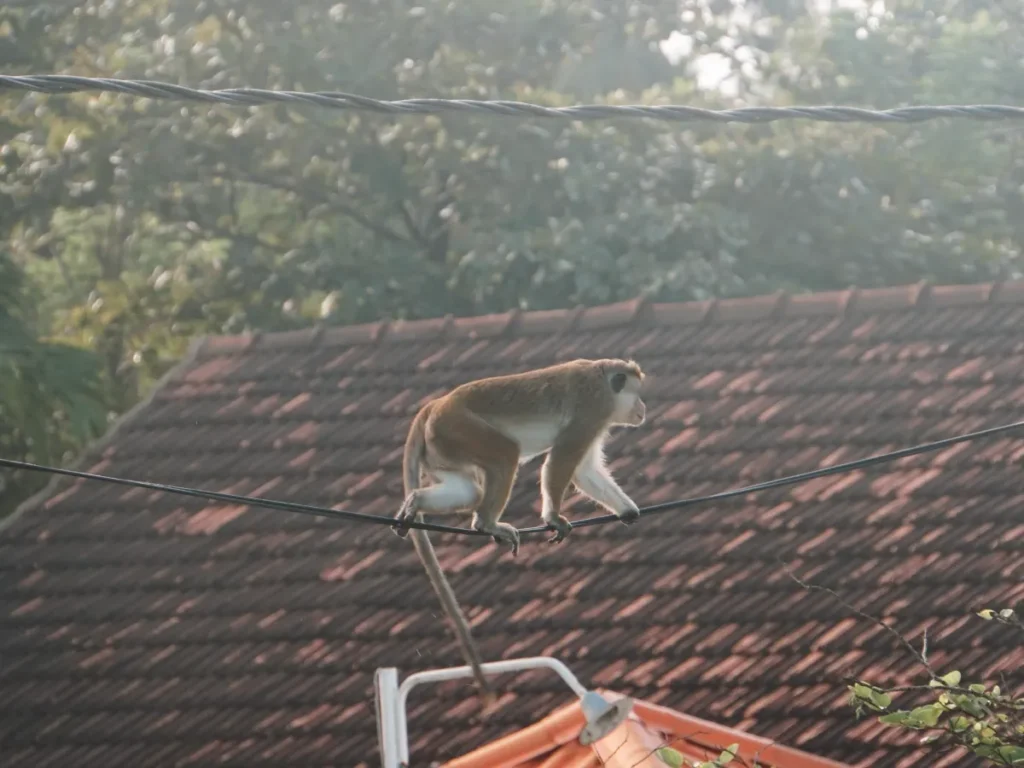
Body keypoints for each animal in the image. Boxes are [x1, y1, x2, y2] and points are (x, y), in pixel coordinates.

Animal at [392, 358, 647, 699]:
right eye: (637, 393)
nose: (643, 407)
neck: (603, 379)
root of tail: (435, 406)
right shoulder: (594, 408)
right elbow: (563, 459)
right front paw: (553, 516)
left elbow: (584, 471)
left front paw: (627, 510)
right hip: (458, 428)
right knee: (505, 454)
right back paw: (486, 522)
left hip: (441, 447)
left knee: (468, 490)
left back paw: (415, 502)